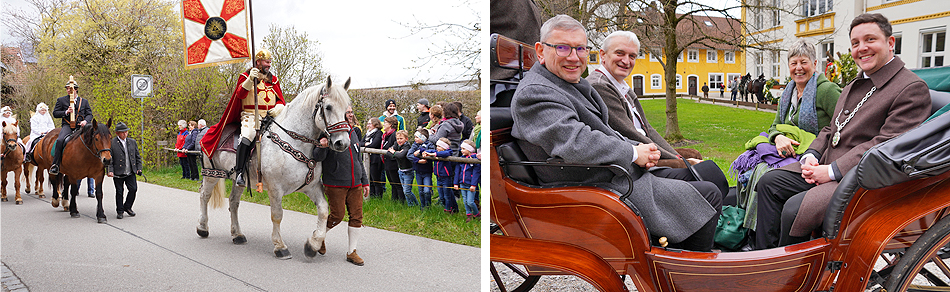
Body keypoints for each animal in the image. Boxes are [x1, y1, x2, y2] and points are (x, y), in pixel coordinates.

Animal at [198, 76, 354, 260]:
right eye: (328, 107)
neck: (295, 142)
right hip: (211, 174)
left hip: (239, 180)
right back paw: (202, 227)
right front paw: (280, 246)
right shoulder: (275, 189)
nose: (342, 143)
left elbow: (323, 210)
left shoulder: (312, 187)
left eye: (346, 109)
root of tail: (210, 130)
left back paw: (237, 234)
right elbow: (277, 215)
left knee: (233, 202)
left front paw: (313, 244)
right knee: (204, 196)